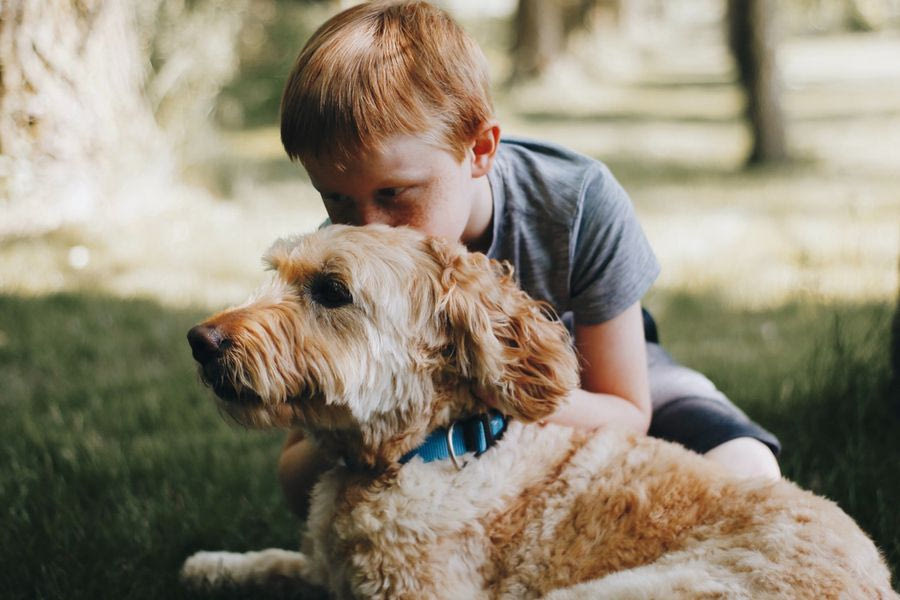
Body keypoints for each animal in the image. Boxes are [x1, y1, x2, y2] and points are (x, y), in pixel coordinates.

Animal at [181, 225, 892, 600]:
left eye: (331, 291)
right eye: (277, 272)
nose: (200, 340)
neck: (429, 447)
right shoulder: (328, 572)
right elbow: (279, 560)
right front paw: (216, 565)